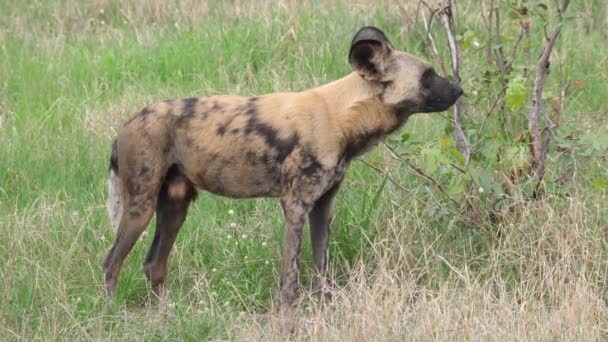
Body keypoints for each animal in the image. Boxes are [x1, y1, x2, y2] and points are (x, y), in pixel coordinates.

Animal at [104, 26, 464, 312]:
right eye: (428, 75)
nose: (460, 88)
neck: (342, 117)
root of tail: (126, 124)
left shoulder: (322, 207)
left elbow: (321, 268)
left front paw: (325, 308)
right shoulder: (295, 205)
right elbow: (290, 276)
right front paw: (287, 318)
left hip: (176, 206)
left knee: (154, 264)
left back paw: (165, 315)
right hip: (141, 208)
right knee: (111, 263)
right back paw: (113, 314)